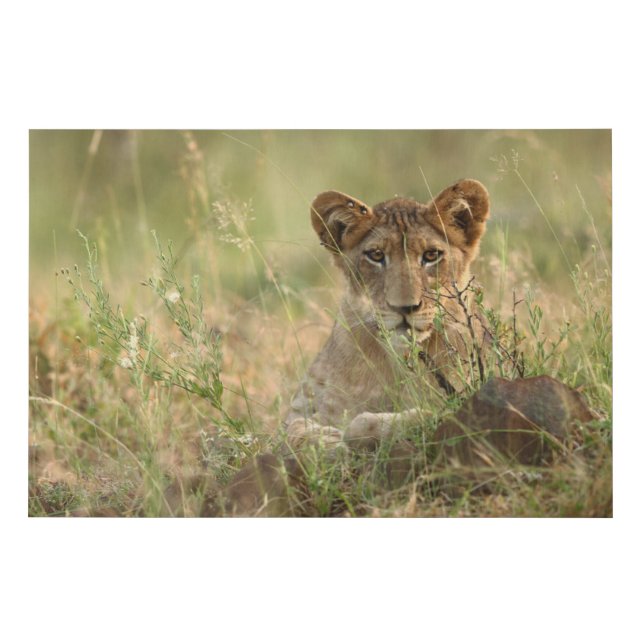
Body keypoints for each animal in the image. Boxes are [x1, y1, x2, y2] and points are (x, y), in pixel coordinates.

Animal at [283, 178, 491, 452]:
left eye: (431, 256)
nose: (404, 308)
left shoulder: (463, 397)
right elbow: (291, 430)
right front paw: (324, 441)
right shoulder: (303, 406)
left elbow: (378, 422)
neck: (397, 362)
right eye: (376, 255)